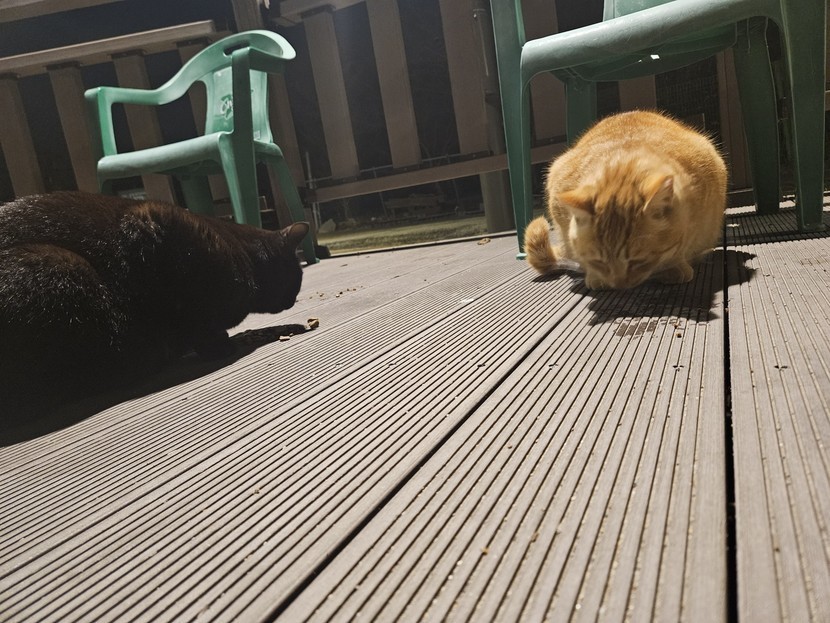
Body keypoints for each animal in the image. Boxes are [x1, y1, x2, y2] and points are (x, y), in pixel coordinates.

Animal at [0, 191, 309, 417]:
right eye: (298, 277)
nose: (292, 301)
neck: (246, 256)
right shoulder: (152, 223)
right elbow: (195, 316)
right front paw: (218, 345)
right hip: (62, 267)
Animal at [524, 110, 727, 290]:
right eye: (598, 262)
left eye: (639, 261)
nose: (619, 285)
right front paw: (596, 276)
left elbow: (680, 248)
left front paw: (675, 266)